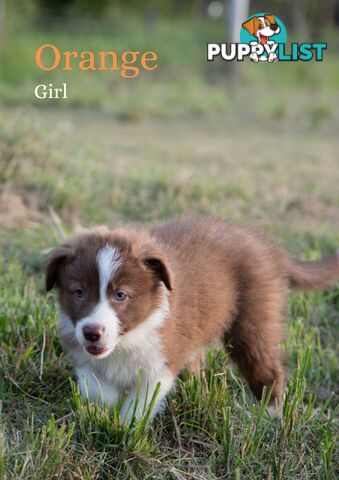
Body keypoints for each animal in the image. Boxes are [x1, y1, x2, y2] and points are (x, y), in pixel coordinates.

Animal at [45, 218, 339, 420]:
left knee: (265, 367)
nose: (92, 332)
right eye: (78, 292)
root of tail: (268, 248)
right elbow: (95, 387)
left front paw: (125, 425)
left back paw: (269, 416)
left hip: (253, 319)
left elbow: (141, 402)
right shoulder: (81, 353)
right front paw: (108, 409)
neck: (129, 339)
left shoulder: (162, 358)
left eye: (120, 295)